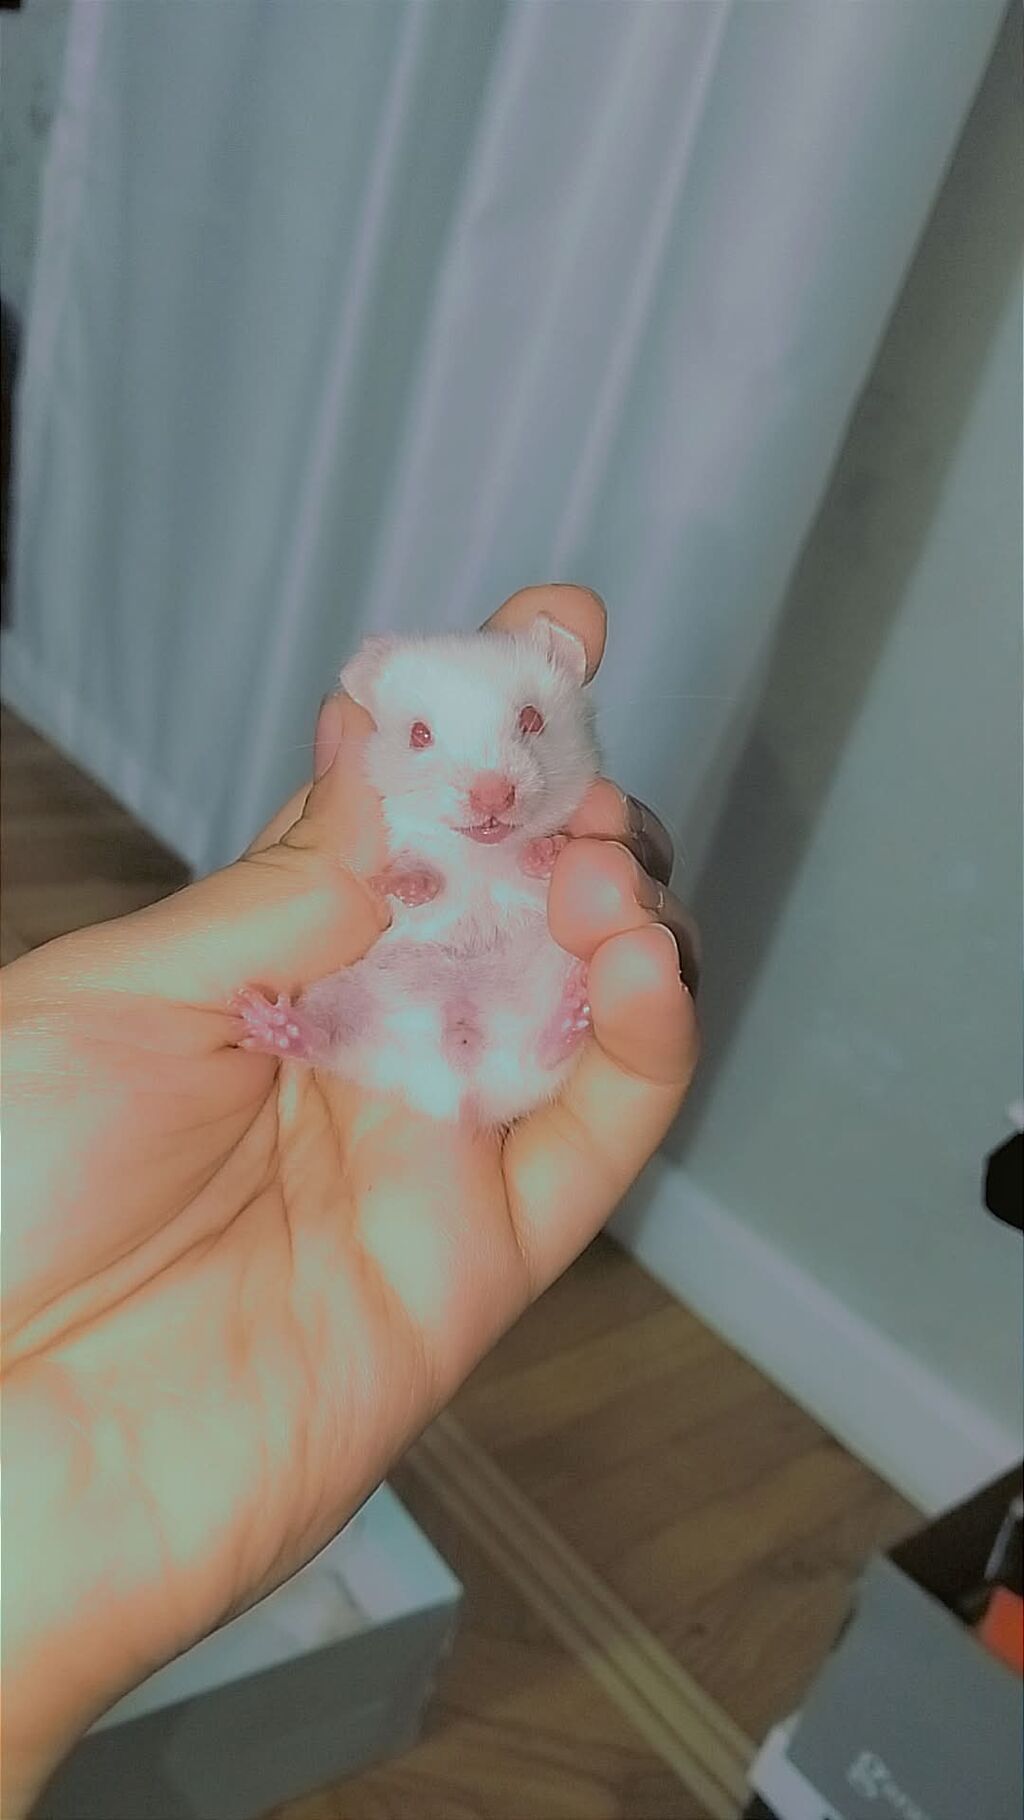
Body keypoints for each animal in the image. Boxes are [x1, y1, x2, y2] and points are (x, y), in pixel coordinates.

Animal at [233, 615, 600, 1128]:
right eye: (420, 734)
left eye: (532, 719)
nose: (492, 795)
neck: (476, 855)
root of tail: (463, 1091)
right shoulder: (405, 842)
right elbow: (415, 870)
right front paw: (405, 885)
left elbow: (541, 859)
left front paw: (542, 854)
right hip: (346, 997)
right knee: (327, 1041)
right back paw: (269, 1022)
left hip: (553, 970)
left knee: (546, 1051)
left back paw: (574, 1011)